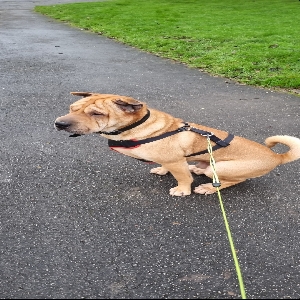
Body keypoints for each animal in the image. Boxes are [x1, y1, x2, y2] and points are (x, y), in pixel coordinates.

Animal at [54, 94, 300, 197]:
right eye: (72, 107)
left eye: (97, 113)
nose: (59, 123)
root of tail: (276, 157)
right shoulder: (170, 160)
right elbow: (166, 167)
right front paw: (162, 171)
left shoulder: (175, 161)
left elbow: (182, 179)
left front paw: (182, 190)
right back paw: (196, 168)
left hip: (222, 169)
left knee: (232, 181)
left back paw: (208, 187)